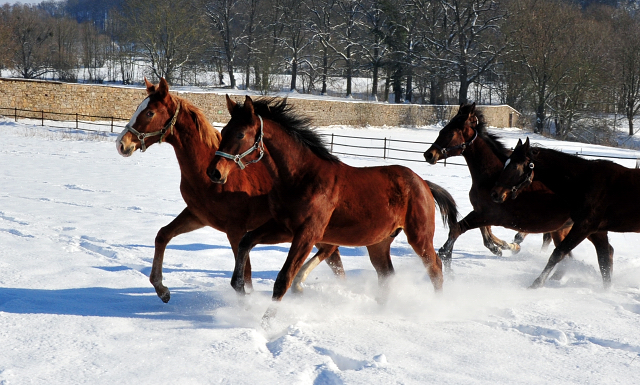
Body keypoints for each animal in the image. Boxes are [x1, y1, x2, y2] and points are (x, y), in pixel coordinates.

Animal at [115, 77, 344, 300]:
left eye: (150, 112)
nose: (121, 144)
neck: (208, 176)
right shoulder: (197, 216)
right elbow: (162, 235)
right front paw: (162, 289)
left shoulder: (236, 230)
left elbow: (246, 277)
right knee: (334, 259)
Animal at [208, 95, 458, 312]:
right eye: (224, 131)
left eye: (240, 135)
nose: (214, 172)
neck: (302, 177)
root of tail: (423, 183)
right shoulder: (283, 227)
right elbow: (245, 241)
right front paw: (239, 287)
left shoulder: (307, 233)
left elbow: (284, 279)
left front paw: (266, 324)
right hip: (378, 243)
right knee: (386, 275)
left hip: (419, 236)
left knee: (435, 267)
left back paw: (437, 306)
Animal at [422, 103, 592, 268]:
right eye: (442, 130)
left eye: (450, 133)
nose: (429, 154)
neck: (492, 176)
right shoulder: (481, 212)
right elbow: (487, 237)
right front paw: (504, 247)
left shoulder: (488, 215)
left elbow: (458, 229)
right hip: (564, 229)